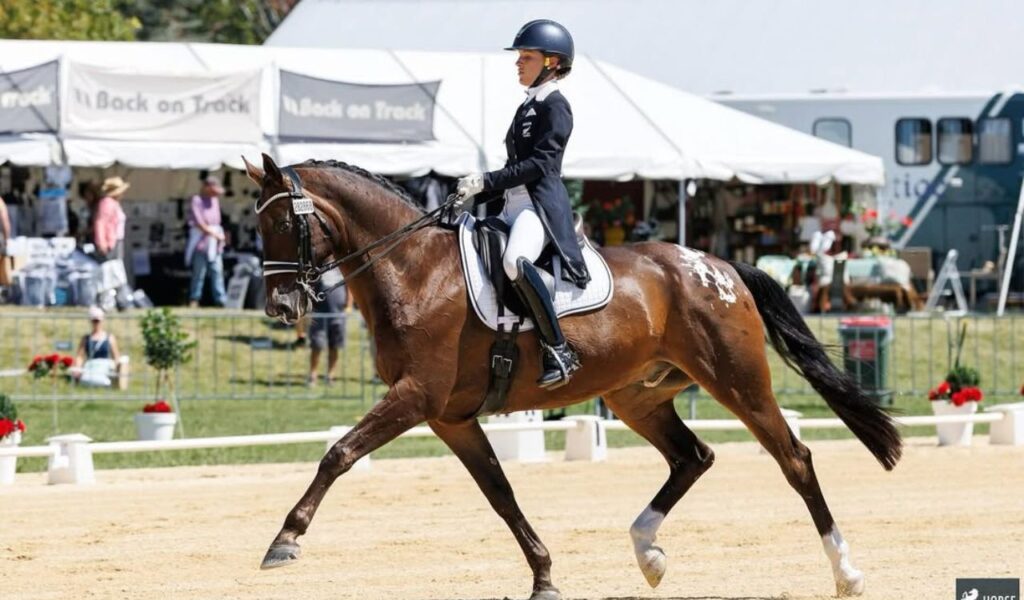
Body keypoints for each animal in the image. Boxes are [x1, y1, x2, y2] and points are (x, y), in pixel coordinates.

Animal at [243, 153, 901, 599]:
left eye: (284, 227)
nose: (280, 307)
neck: (415, 271)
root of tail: (720, 266)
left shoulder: (415, 398)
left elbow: (339, 453)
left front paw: (284, 542)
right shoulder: (449, 416)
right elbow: (501, 494)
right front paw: (544, 576)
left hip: (738, 381)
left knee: (794, 459)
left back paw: (846, 572)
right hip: (638, 396)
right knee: (692, 456)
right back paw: (648, 554)